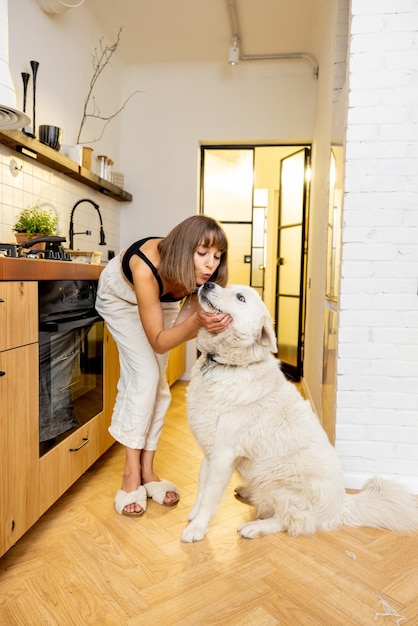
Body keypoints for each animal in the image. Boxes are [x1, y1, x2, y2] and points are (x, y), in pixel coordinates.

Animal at [182, 282, 418, 540]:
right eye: (229, 287)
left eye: (240, 297)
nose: (208, 283)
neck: (226, 365)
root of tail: (341, 506)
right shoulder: (210, 451)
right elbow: (201, 485)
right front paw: (193, 515)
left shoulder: (223, 455)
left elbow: (210, 497)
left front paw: (197, 529)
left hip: (276, 478)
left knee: (292, 521)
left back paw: (255, 527)